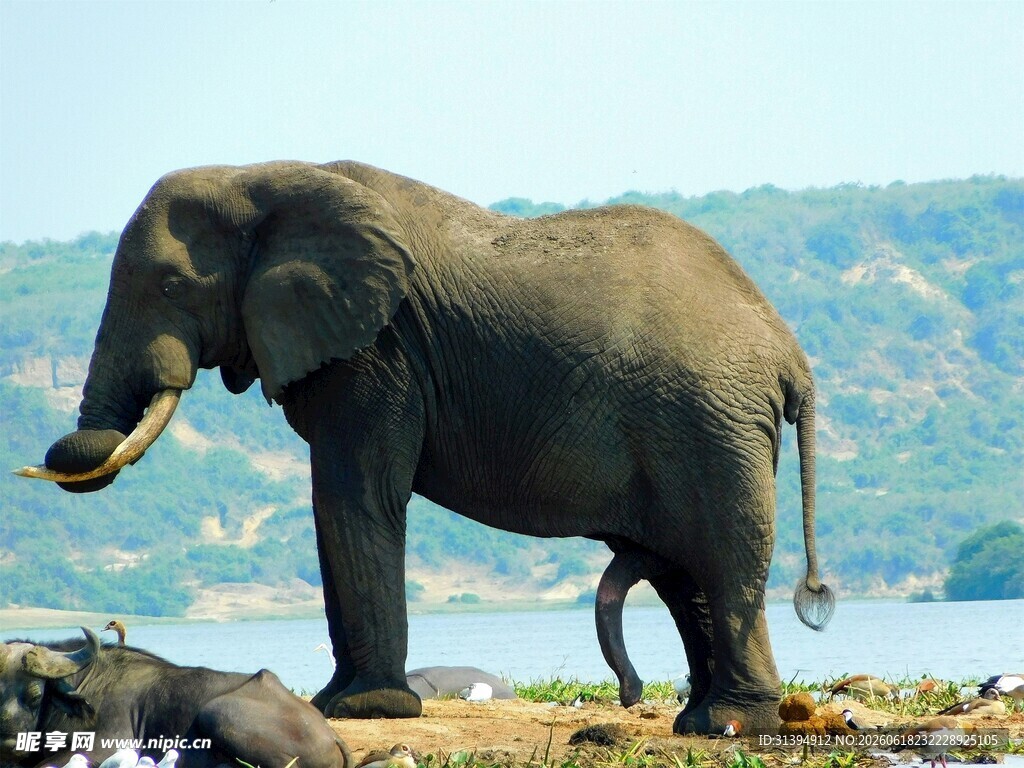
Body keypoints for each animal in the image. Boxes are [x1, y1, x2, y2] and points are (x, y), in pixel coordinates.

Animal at [18, 160, 834, 735]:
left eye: (170, 284)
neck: (261, 178)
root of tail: (788, 349)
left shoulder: (376, 353)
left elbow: (352, 496)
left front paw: (360, 710)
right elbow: (341, 504)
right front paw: (337, 701)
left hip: (710, 421)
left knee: (722, 557)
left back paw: (728, 725)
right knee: (682, 570)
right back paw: (703, 722)